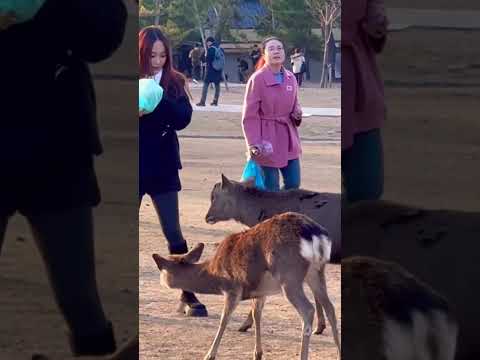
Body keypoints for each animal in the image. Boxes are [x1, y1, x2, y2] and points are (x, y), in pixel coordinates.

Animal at [152, 212, 340, 358]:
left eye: (163, 267)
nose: (160, 280)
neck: (214, 274)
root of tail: (315, 235)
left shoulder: (232, 288)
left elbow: (224, 319)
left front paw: (209, 355)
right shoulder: (261, 291)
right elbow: (257, 314)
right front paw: (257, 354)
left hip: (289, 276)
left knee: (308, 310)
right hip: (316, 271)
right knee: (330, 307)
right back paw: (339, 353)